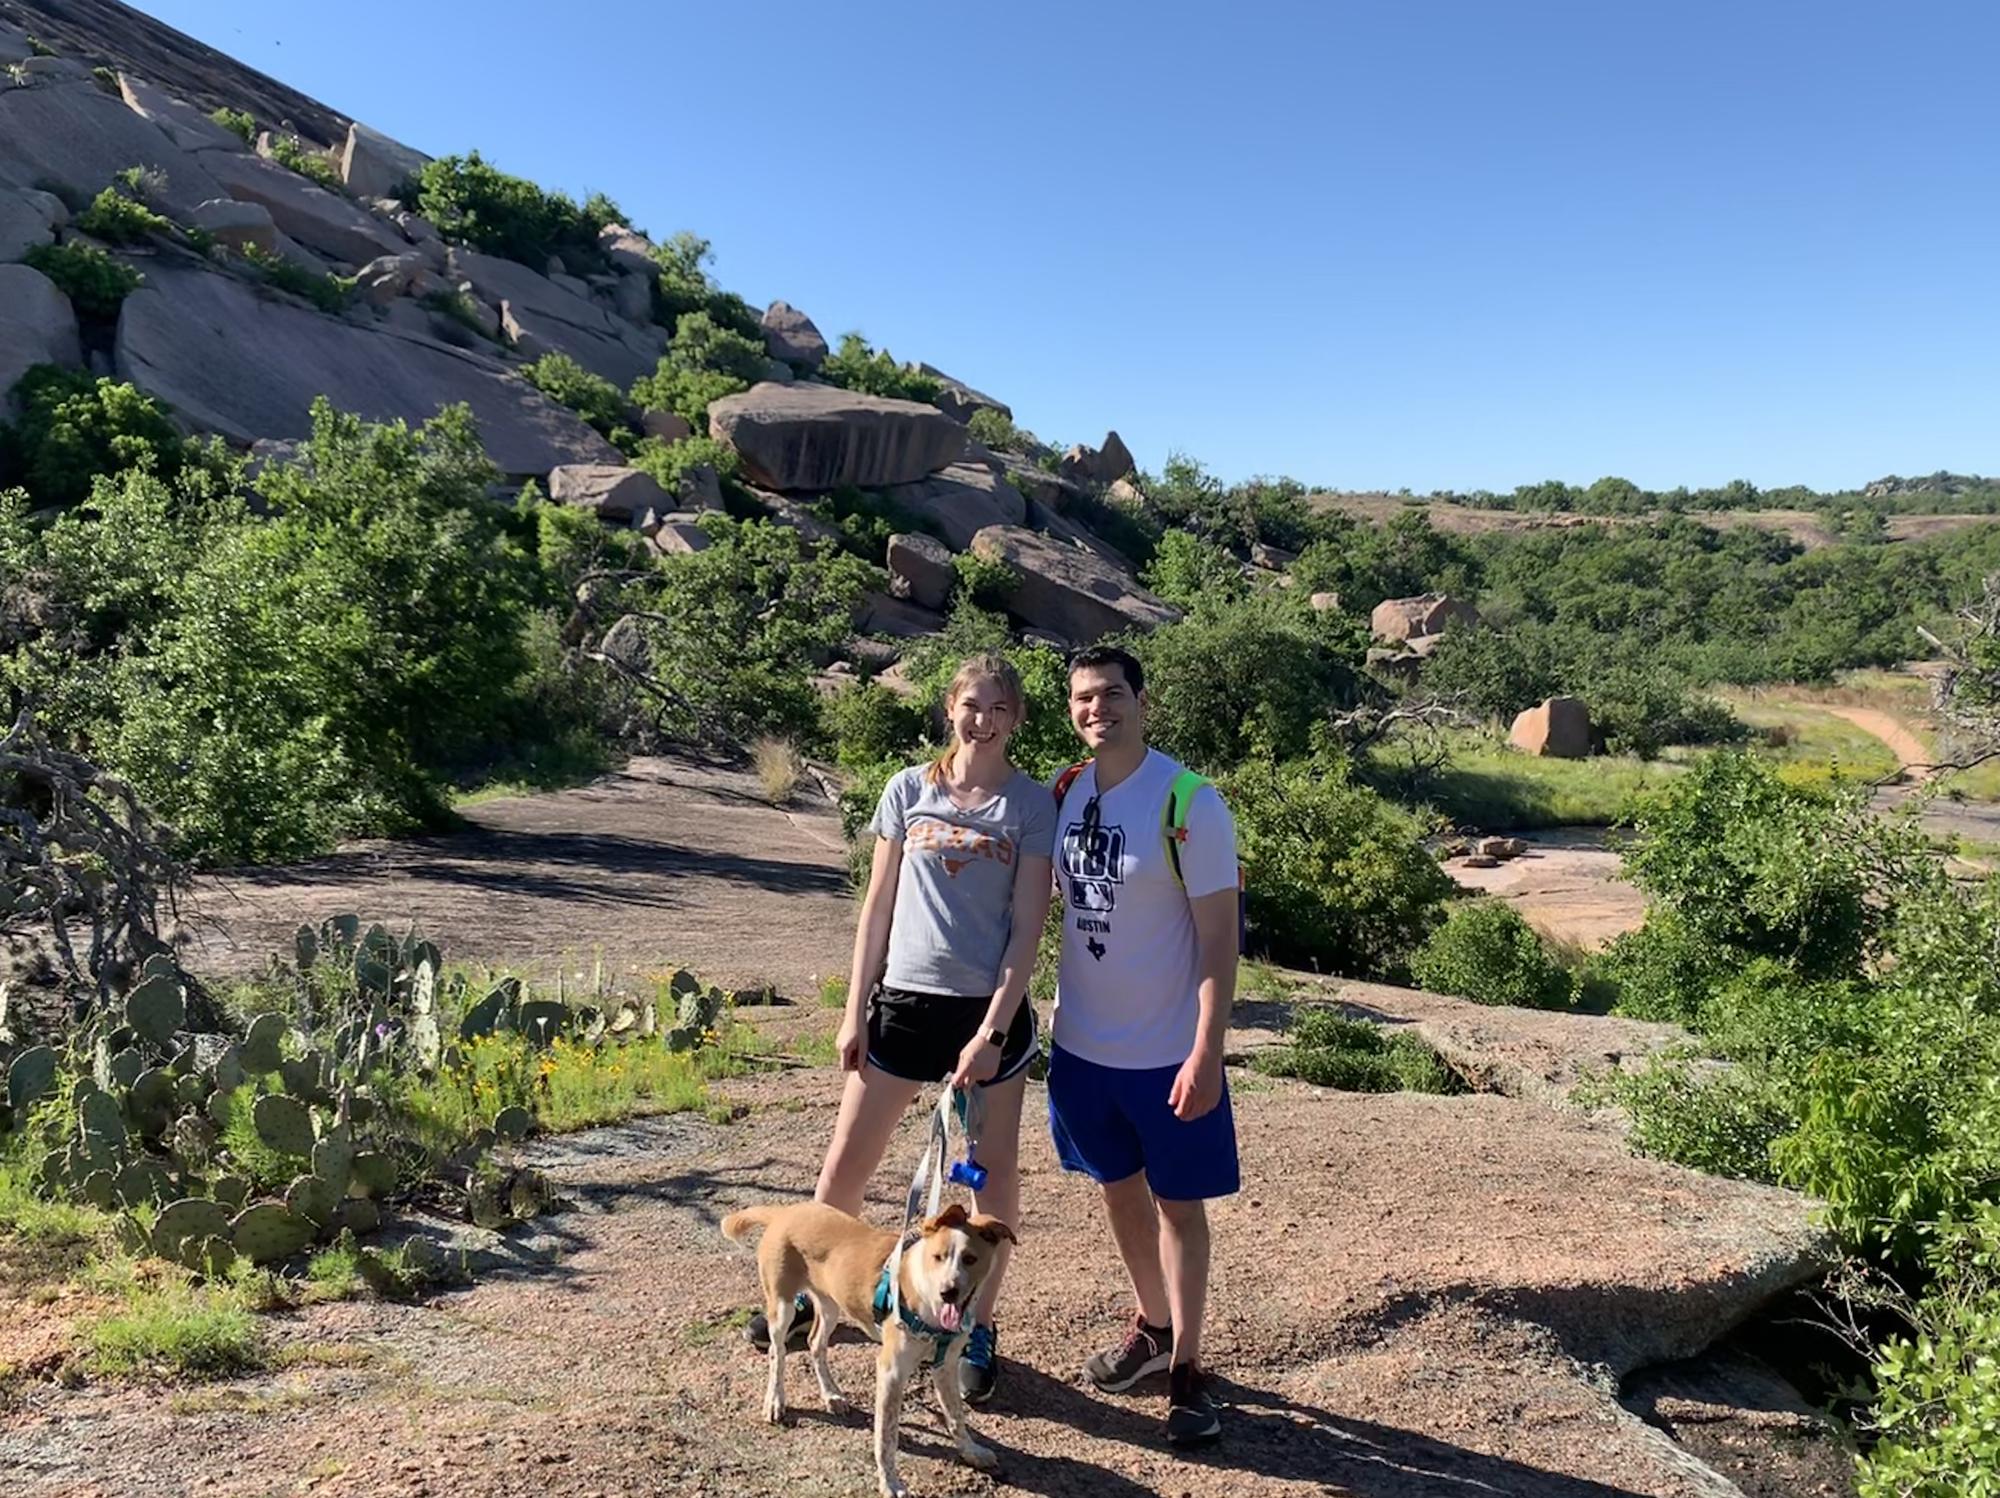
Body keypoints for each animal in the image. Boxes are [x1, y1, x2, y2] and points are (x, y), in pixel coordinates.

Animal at [724, 1200, 1016, 1498]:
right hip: (782, 1307)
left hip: (830, 1304)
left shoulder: (944, 1366)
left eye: (970, 1259)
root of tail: (786, 1211)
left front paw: (971, 1451)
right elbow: (887, 1436)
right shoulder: (891, 1371)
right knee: (778, 1351)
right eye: (938, 1257)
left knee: (815, 1344)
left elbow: (956, 1415)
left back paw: (832, 1395)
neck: (926, 1297)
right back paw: (775, 1401)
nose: (948, 1292)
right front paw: (890, 1483)